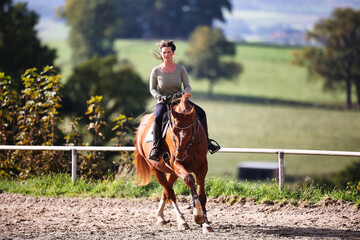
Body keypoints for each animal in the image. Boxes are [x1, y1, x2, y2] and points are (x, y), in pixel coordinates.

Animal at [134, 93, 214, 233]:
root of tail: (143, 122)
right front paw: (198, 216)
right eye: (173, 131)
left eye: (190, 131)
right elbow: (189, 179)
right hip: (156, 169)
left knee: (165, 192)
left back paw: (160, 217)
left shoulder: (202, 166)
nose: (179, 156)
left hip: (173, 172)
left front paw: (206, 223)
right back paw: (181, 221)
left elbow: (201, 194)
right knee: (170, 193)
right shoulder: (177, 164)